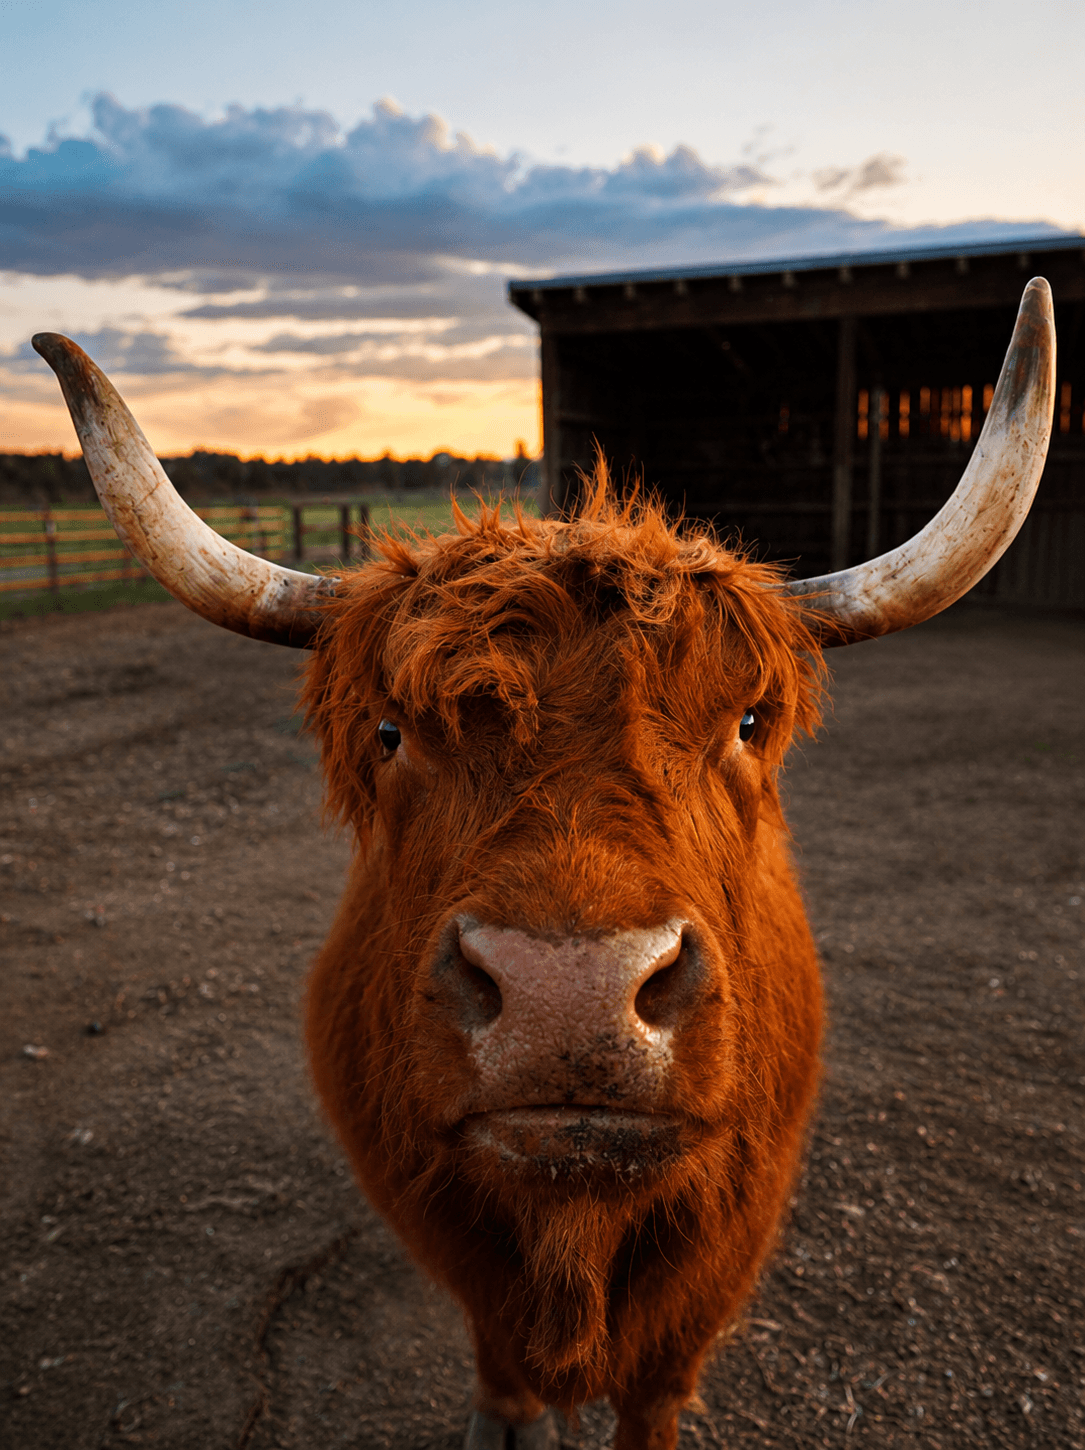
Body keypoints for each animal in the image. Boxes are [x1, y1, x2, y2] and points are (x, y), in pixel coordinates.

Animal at [33, 278, 1054, 1450]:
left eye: (748, 722)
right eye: (389, 733)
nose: (570, 999)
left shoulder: (717, 1259)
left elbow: (652, 1394)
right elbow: (503, 1369)